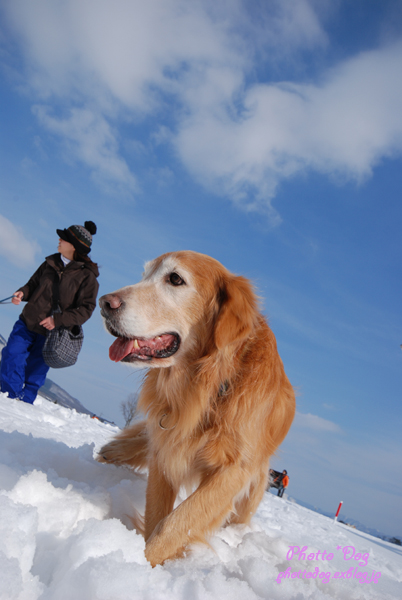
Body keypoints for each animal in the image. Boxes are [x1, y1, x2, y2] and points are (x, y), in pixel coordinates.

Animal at [97, 250, 296, 568]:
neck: (208, 385)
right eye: (144, 275)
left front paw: (145, 562)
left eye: (175, 279)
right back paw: (114, 450)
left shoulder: (234, 471)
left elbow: (176, 523)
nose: (104, 303)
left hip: (255, 483)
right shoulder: (167, 446)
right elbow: (158, 515)